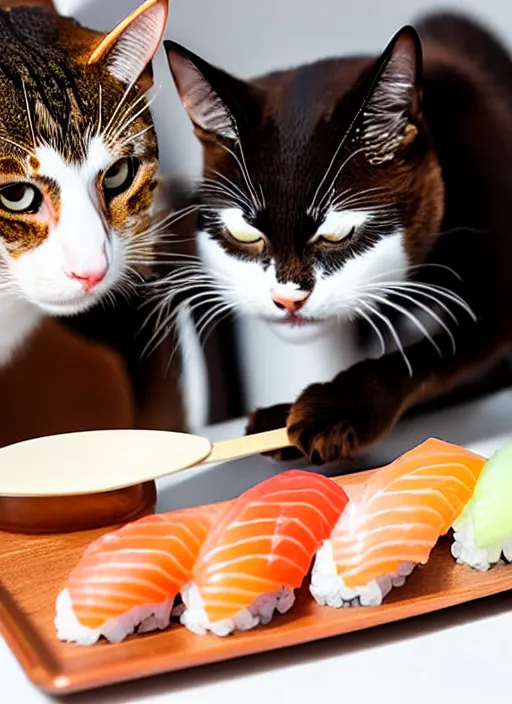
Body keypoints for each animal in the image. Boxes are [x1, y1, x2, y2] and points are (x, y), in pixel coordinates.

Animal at [162, 13, 512, 464]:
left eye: (337, 232)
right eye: (244, 232)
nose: (287, 299)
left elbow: (432, 352)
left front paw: (333, 410)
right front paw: (278, 418)